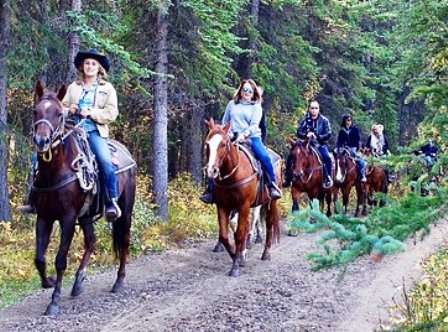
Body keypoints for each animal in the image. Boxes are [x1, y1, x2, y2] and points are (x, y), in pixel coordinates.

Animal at [31, 80, 136, 314]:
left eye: (59, 113)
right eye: (35, 111)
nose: (42, 141)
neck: (55, 171)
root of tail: (126, 152)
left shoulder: (68, 217)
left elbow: (60, 259)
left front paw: (54, 301)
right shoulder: (44, 216)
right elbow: (40, 258)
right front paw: (49, 282)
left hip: (125, 210)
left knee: (124, 241)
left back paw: (119, 282)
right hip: (87, 215)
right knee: (91, 241)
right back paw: (78, 282)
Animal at [204, 118, 280, 276]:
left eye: (223, 144)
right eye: (207, 144)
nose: (211, 170)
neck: (233, 174)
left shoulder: (244, 205)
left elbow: (239, 233)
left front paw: (236, 266)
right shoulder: (223, 206)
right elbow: (225, 235)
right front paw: (237, 256)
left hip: (271, 202)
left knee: (269, 223)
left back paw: (266, 253)